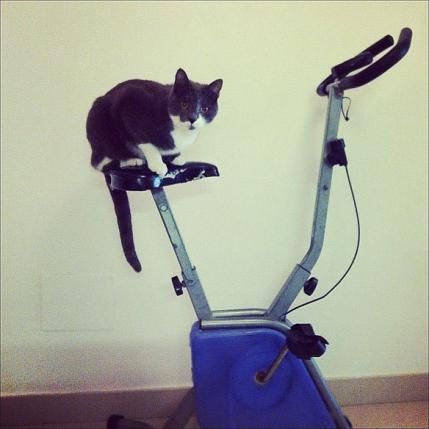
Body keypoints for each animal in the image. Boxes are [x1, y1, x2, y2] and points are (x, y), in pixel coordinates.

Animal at [86, 68, 223, 272]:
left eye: (204, 109)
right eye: (184, 104)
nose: (192, 119)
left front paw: (178, 158)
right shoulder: (130, 106)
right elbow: (146, 143)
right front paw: (158, 164)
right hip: (101, 125)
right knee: (100, 161)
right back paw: (131, 159)